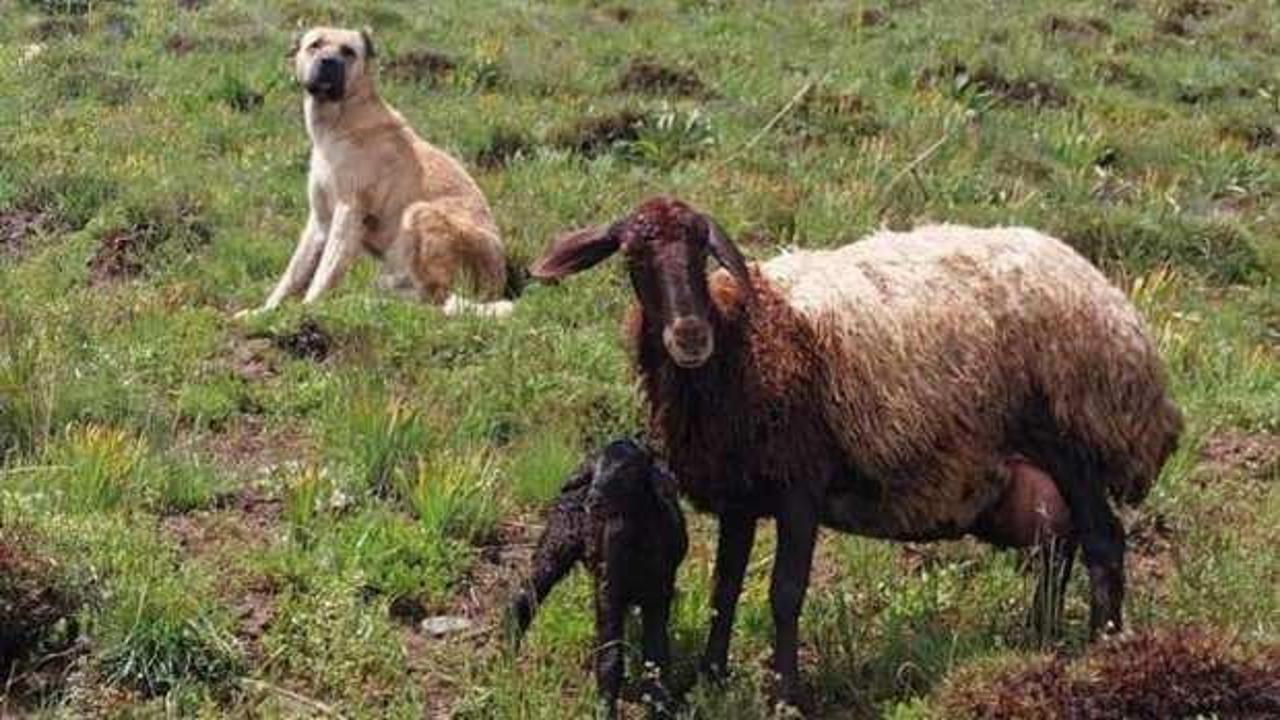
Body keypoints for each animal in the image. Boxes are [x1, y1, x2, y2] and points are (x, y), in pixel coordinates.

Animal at [240, 27, 509, 316]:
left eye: (348, 51)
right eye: (315, 45)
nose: (328, 62)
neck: (340, 120)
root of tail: (498, 284)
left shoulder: (348, 211)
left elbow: (324, 273)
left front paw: (307, 309)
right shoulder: (320, 220)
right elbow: (293, 274)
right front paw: (263, 313)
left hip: (419, 212)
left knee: (435, 300)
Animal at [506, 438, 691, 712]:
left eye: (628, 469)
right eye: (597, 469)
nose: (593, 499)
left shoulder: (660, 591)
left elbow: (656, 657)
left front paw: (659, 706)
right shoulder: (609, 589)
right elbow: (610, 657)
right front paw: (605, 709)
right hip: (557, 541)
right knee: (528, 592)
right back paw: (506, 648)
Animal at [529, 196, 1177, 707]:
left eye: (700, 253)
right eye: (632, 258)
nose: (690, 334)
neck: (743, 338)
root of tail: (1120, 313)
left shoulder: (800, 483)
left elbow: (785, 592)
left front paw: (786, 694)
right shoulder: (741, 492)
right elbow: (724, 589)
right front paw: (712, 678)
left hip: (1074, 439)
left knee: (1101, 541)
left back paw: (1103, 652)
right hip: (1031, 471)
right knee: (1055, 545)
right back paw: (1042, 638)